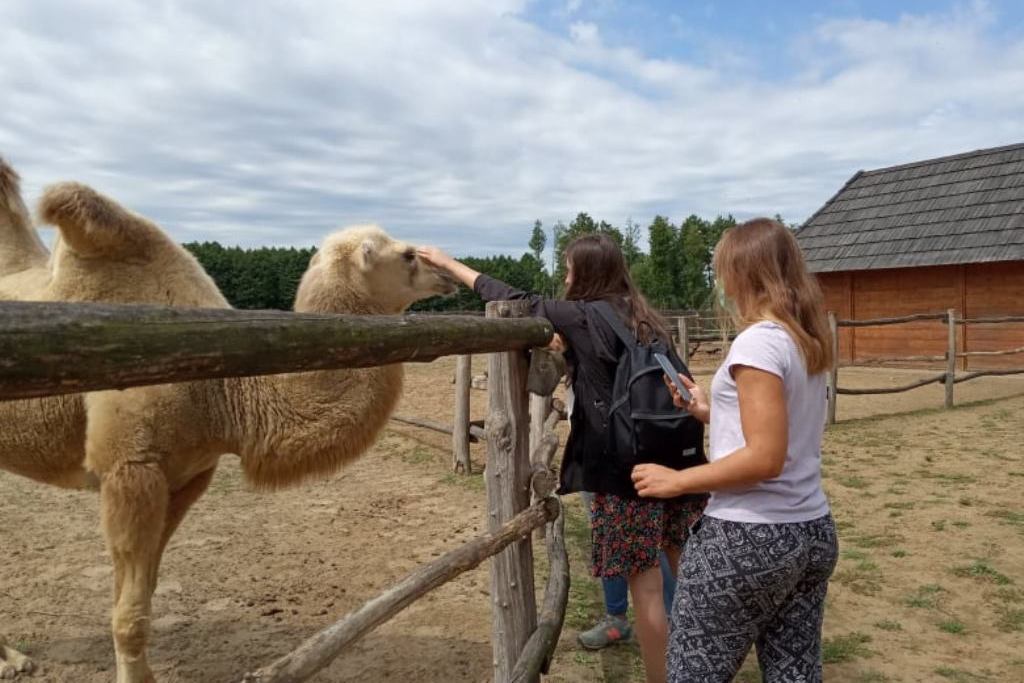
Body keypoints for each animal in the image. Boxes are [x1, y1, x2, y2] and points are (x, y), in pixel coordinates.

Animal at [0, 161, 456, 683]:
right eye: (407, 255)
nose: (449, 274)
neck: (221, 390)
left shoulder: (188, 476)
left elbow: (140, 596)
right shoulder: (130, 469)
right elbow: (130, 614)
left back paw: (14, 657)